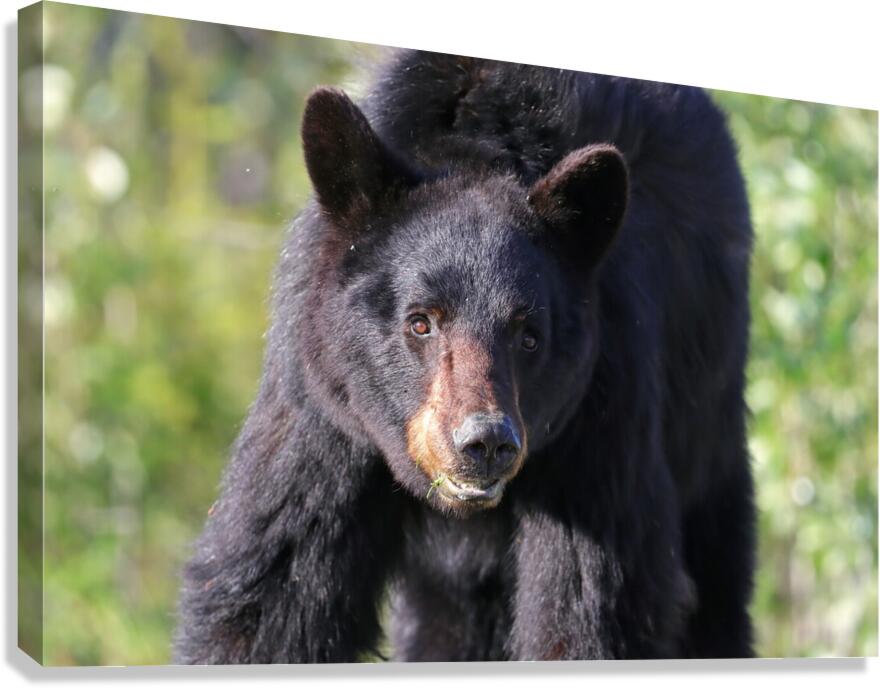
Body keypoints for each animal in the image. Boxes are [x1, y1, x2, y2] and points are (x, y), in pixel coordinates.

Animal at [173, 49, 755, 663]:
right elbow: (272, 589)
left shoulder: (601, 407)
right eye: (420, 322)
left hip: (706, 430)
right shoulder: (326, 406)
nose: (486, 443)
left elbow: (590, 604)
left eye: (529, 336)